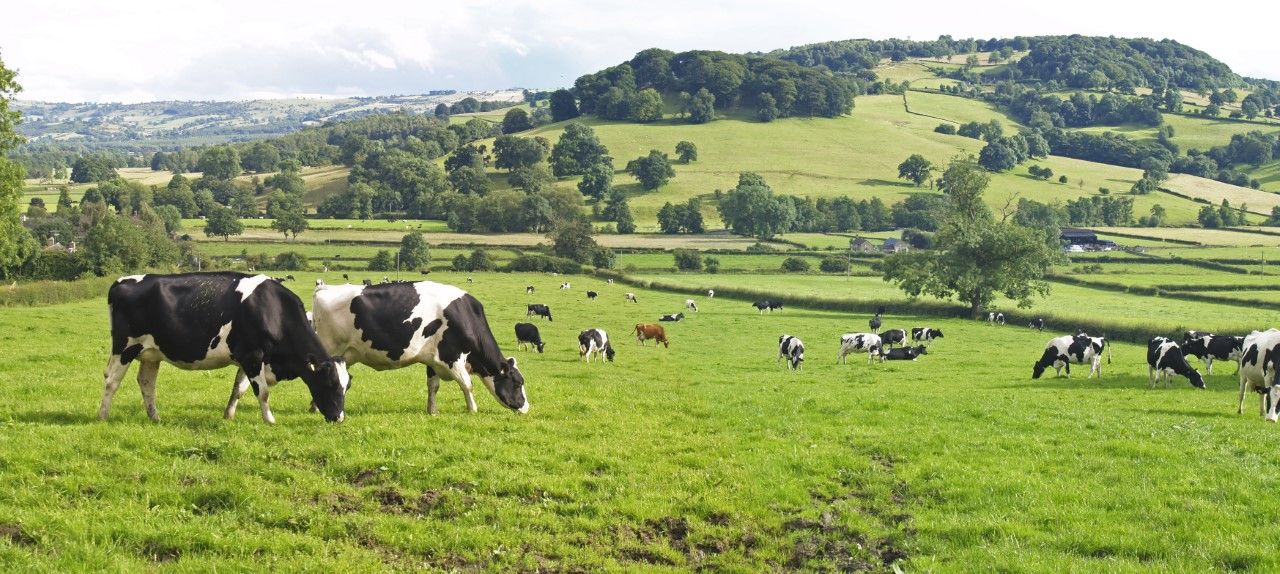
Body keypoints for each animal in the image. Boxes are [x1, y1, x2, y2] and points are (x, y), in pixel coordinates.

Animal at [100, 272, 350, 424]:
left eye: (347, 386)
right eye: (330, 383)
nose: (339, 418)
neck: (272, 309)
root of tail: (121, 281)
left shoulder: (248, 358)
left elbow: (238, 389)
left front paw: (228, 415)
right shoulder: (252, 355)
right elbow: (263, 391)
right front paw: (269, 420)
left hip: (151, 353)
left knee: (146, 383)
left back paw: (155, 417)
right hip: (125, 347)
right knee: (111, 380)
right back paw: (103, 415)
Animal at [313, 281, 528, 415]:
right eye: (518, 383)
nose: (526, 408)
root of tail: (324, 288)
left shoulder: (433, 359)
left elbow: (433, 386)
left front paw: (432, 411)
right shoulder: (453, 356)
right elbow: (467, 384)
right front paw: (472, 409)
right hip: (330, 349)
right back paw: (316, 407)